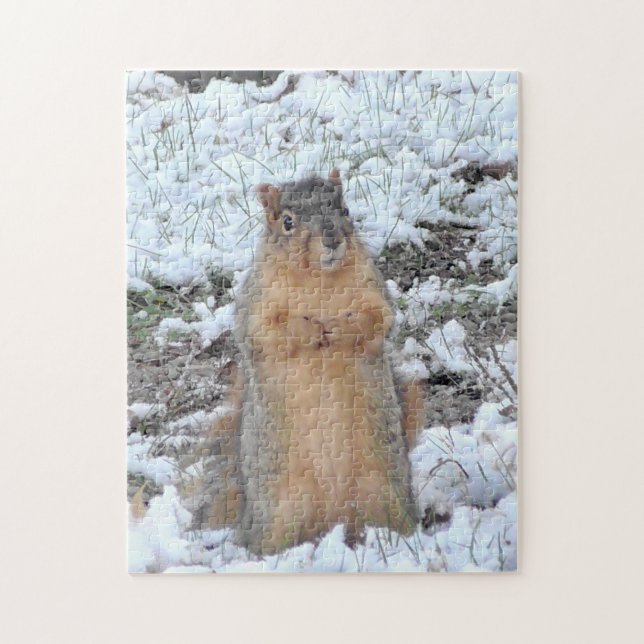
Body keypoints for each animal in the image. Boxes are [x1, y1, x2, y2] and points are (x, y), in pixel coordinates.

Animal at [184, 169, 424, 556]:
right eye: (287, 222)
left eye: (345, 209)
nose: (332, 239)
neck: (319, 281)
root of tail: (334, 522)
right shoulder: (256, 307)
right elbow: (269, 332)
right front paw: (310, 330)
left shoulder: (374, 291)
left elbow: (376, 320)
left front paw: (340, 328)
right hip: (281, 511)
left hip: (382, 493)